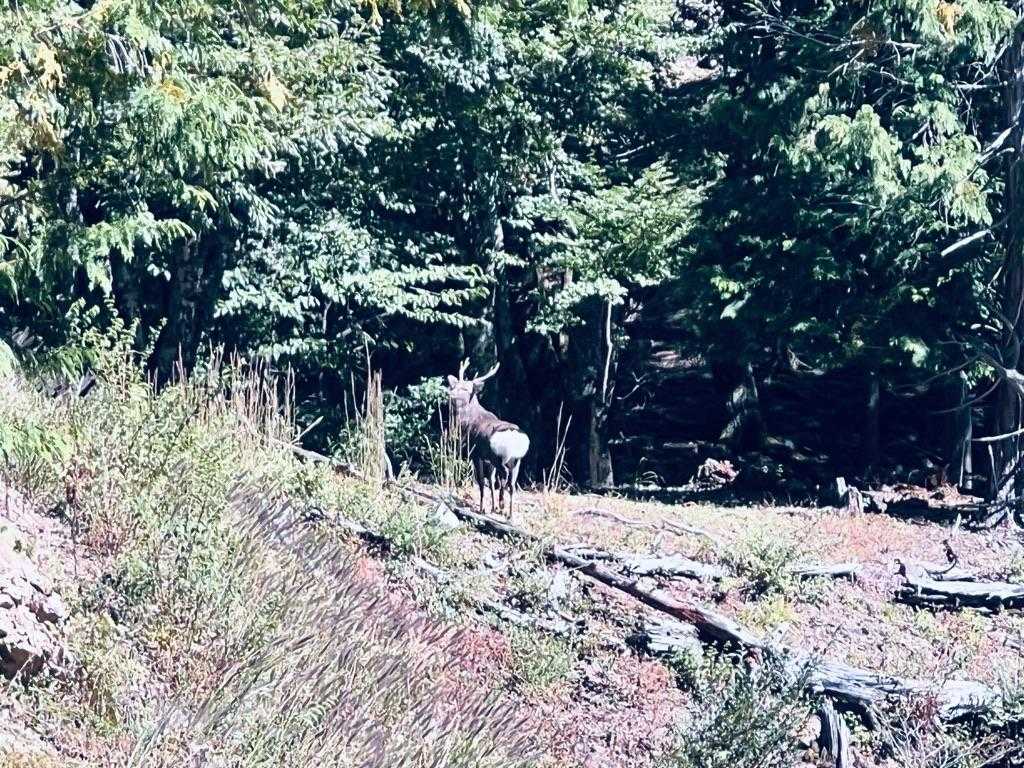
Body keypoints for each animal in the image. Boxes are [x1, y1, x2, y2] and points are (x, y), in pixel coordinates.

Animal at [446, 359, 530, 518]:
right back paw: (509, 514)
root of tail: (516, 439)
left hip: (500, 457)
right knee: (512, 484)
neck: (469, 422)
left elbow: (481, 481)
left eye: (466, 389)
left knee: (504, 477)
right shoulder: (487, 460)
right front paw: (492, 507)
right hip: (516, 461)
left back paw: (502, 506)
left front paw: (483, 508)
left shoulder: (475, 454)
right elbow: (490, 481)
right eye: (455, 385)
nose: (450, 394)